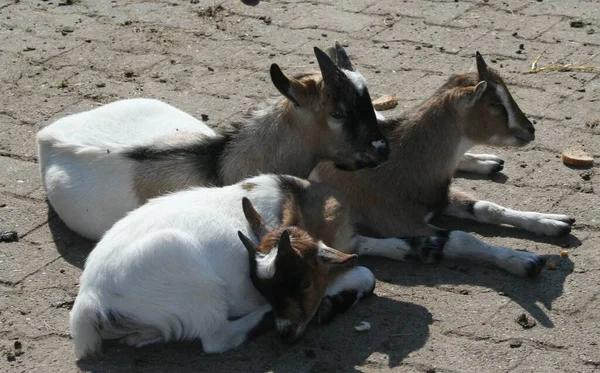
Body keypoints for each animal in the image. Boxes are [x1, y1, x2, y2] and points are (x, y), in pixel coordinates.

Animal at [312, 50, 576, 276]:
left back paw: (486, 162)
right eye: (495, 105)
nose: (530, 130)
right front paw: (522, 260)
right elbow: (461, 238)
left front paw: (551, 221)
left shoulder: (440, 195)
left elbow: (487, 208)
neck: (401, 161)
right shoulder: (396, 221)